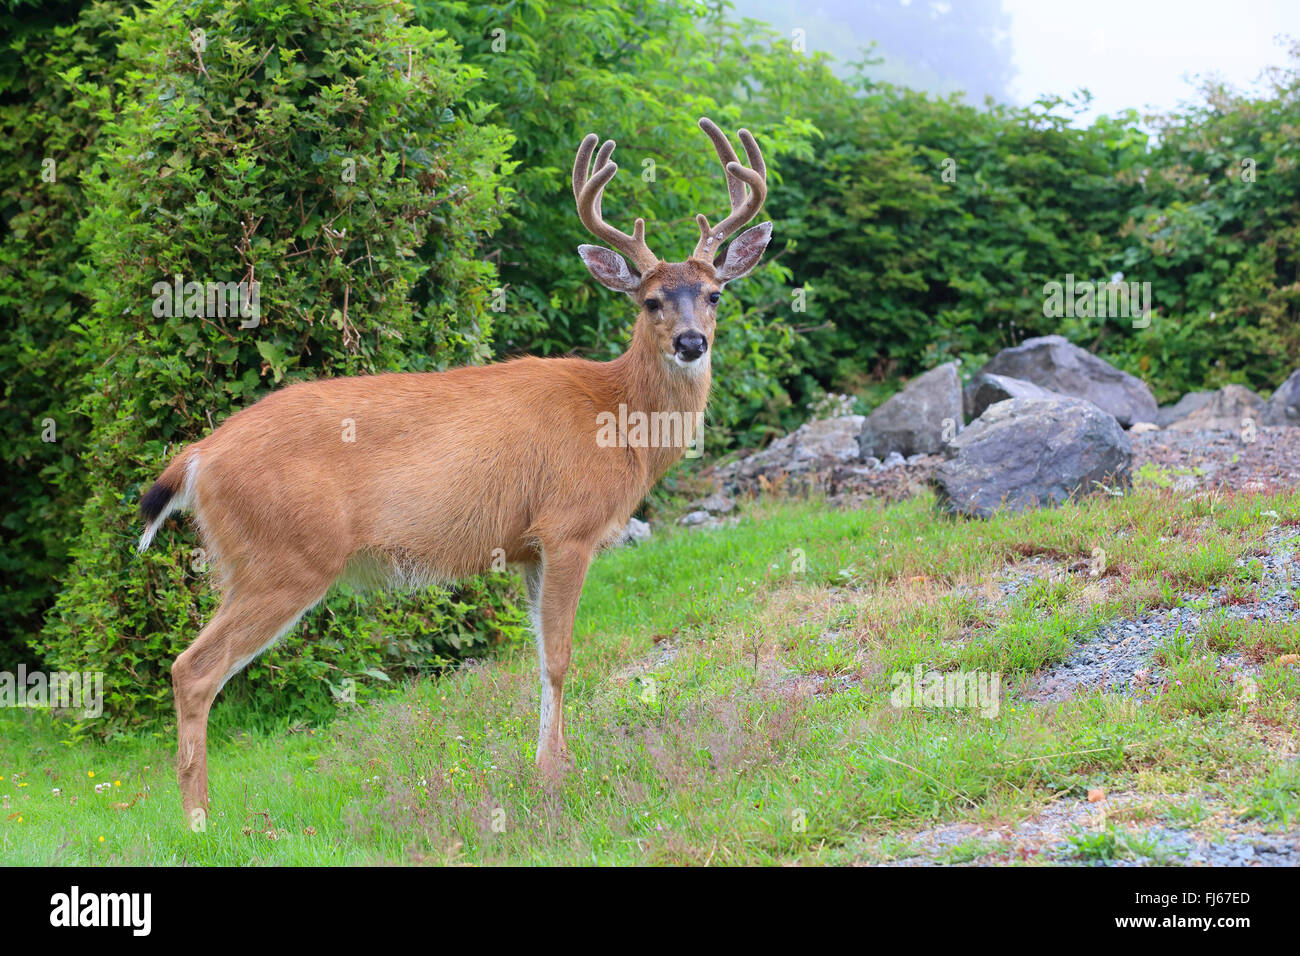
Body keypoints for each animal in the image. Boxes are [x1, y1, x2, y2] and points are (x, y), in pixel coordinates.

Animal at [139, 115, 769, 827]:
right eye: (651, 301)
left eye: (715, 293)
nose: (692, 342)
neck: (615, 416)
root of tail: (199, 457)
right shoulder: (569, 526)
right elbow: (560, 656)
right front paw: (553, 778)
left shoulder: (527, 547)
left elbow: (538, 655)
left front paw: (550, 765)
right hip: (282, 558)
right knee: (192, 669)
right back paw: (199, 823)